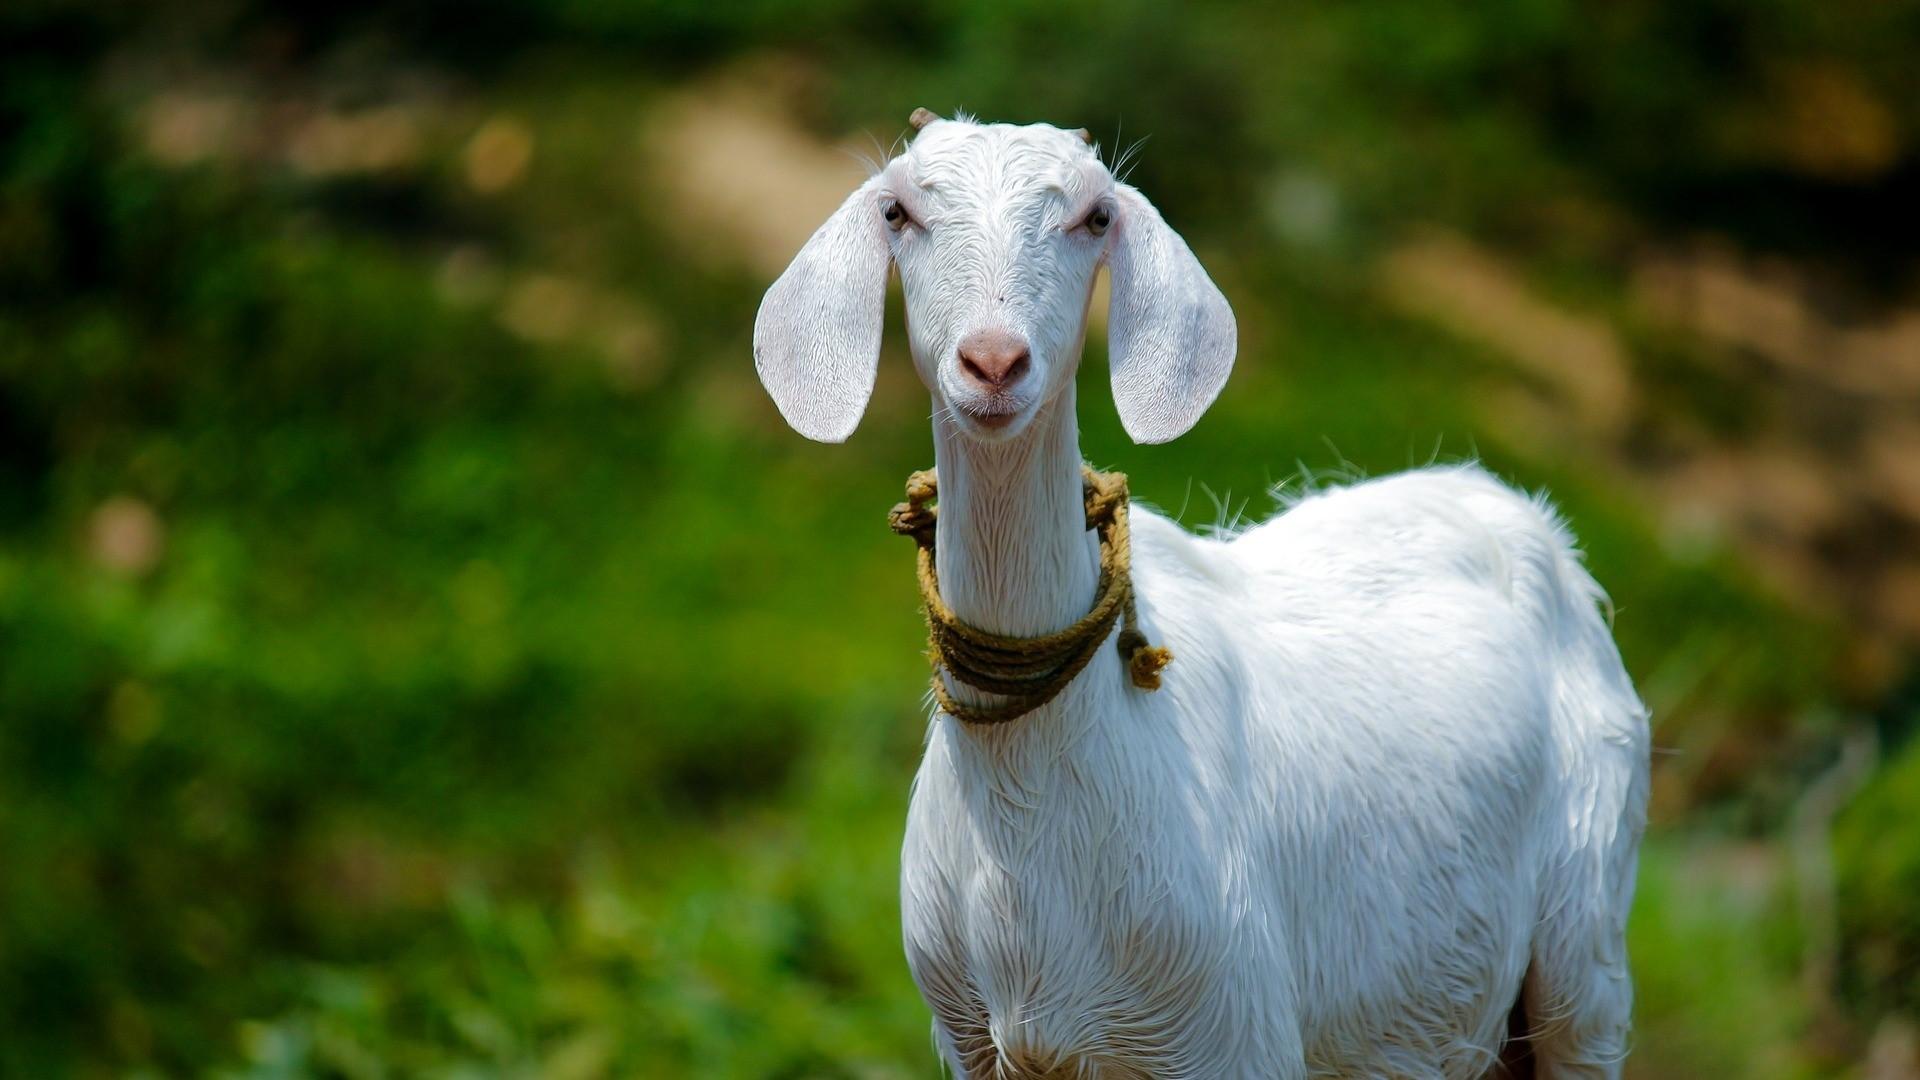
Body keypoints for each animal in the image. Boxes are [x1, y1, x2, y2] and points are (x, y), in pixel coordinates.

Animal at [752, 111, 1650, 1079]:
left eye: (1095, 216)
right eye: (899, 210)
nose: (993, 363)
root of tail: (1517, 511)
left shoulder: (1234, 1030)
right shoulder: (970, 1042)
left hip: (1588, 942)